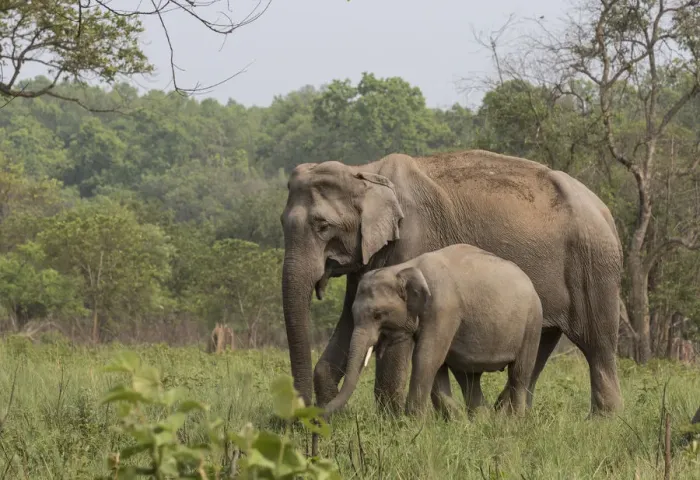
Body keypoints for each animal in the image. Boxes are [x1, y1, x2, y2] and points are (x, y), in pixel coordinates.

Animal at [322, 244, 543, 417]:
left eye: (377, 315)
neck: (405, 268)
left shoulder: (442, 309)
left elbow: (427, 357)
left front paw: (412, 423)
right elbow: (436, 364)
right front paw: (456, 420)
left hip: (532, 323)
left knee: (519, 374)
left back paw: (514, 422)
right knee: (469, 377)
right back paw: (482, 421)